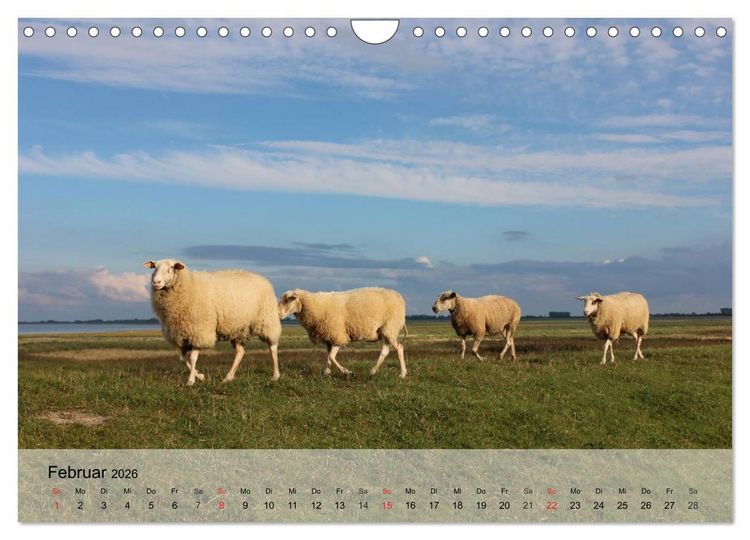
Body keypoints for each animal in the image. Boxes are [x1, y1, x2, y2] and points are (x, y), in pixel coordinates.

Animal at [143, 258, 282, 385]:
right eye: (154, 267)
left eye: (171, 268)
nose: (156, 282)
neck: (189, 285)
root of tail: (262, 278)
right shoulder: (182, 335)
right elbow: (182, 359)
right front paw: (200, 376)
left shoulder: (199, 331)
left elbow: (193, 358)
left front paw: (191, 380)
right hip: (239, 329)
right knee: (240, 352)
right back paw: (228, 377)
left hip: (267, 320)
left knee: (272, 347)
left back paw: (275, 375)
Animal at [278, 287, 408, 378]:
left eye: (289, 299)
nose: (278, 314)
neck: (316, 306)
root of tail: (400, 297)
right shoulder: (329, 338)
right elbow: (329, 357)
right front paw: (327, 372)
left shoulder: (337, 335)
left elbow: (331, 356)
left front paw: (346, 372)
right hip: (385, 331)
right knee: (385, 351)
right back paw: (373, 371)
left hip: (390, 327)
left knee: (399, 348)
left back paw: (402, 374)